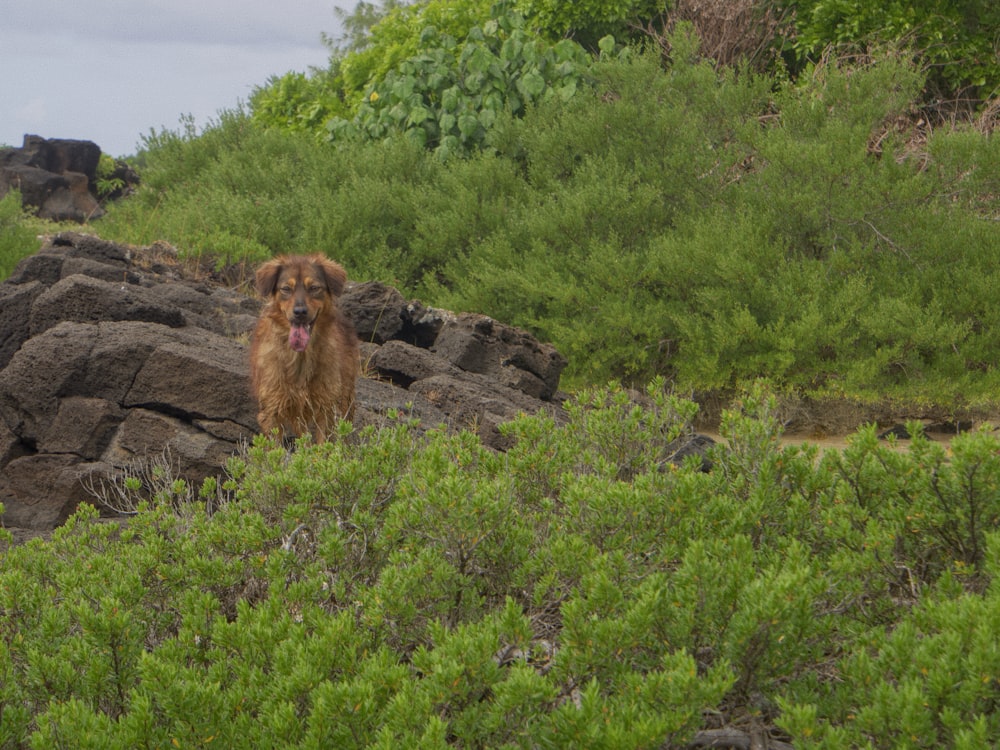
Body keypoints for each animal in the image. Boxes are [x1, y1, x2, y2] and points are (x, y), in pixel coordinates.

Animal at [249, 254, 360, 440]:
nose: (300, 312)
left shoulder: (327, 408)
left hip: (346, 396)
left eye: (314, 288)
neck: (300, 356)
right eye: (286, 289)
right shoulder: (272, 410)